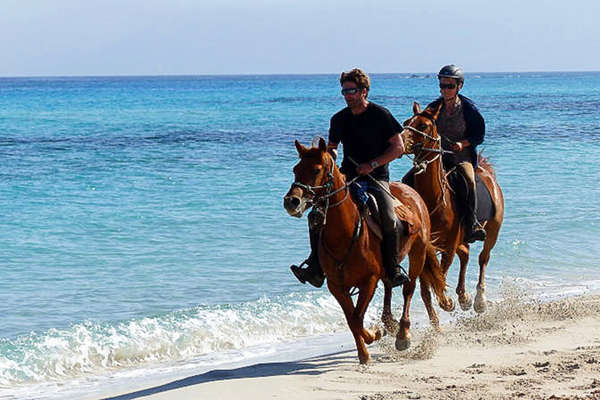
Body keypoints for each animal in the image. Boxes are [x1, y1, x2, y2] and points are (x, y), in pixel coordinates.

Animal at [284, 137, 452, 362]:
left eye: (317, 170)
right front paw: (366, 351)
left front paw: (374, 336)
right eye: (295, 169)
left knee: (408, 289)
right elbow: (352, 319)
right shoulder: (336, 286)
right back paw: (389, 323)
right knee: (390, 285)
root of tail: (413, 194)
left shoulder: (369, 280)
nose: (291, 201)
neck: (345, 234)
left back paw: (402, 334)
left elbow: (357, 316)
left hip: (418, 253)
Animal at [400, 102, 504, 312]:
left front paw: (446, 301)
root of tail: (486, 172)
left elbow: (441, 271)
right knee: (465, 254)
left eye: (423, 125)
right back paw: (463, 296)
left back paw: (479, 300)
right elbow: (427, 282)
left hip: (493, 230)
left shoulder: (448, 244)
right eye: (407, 122)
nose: (400, 140)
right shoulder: (426, 245)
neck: (434, 200)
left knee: (483, 257)